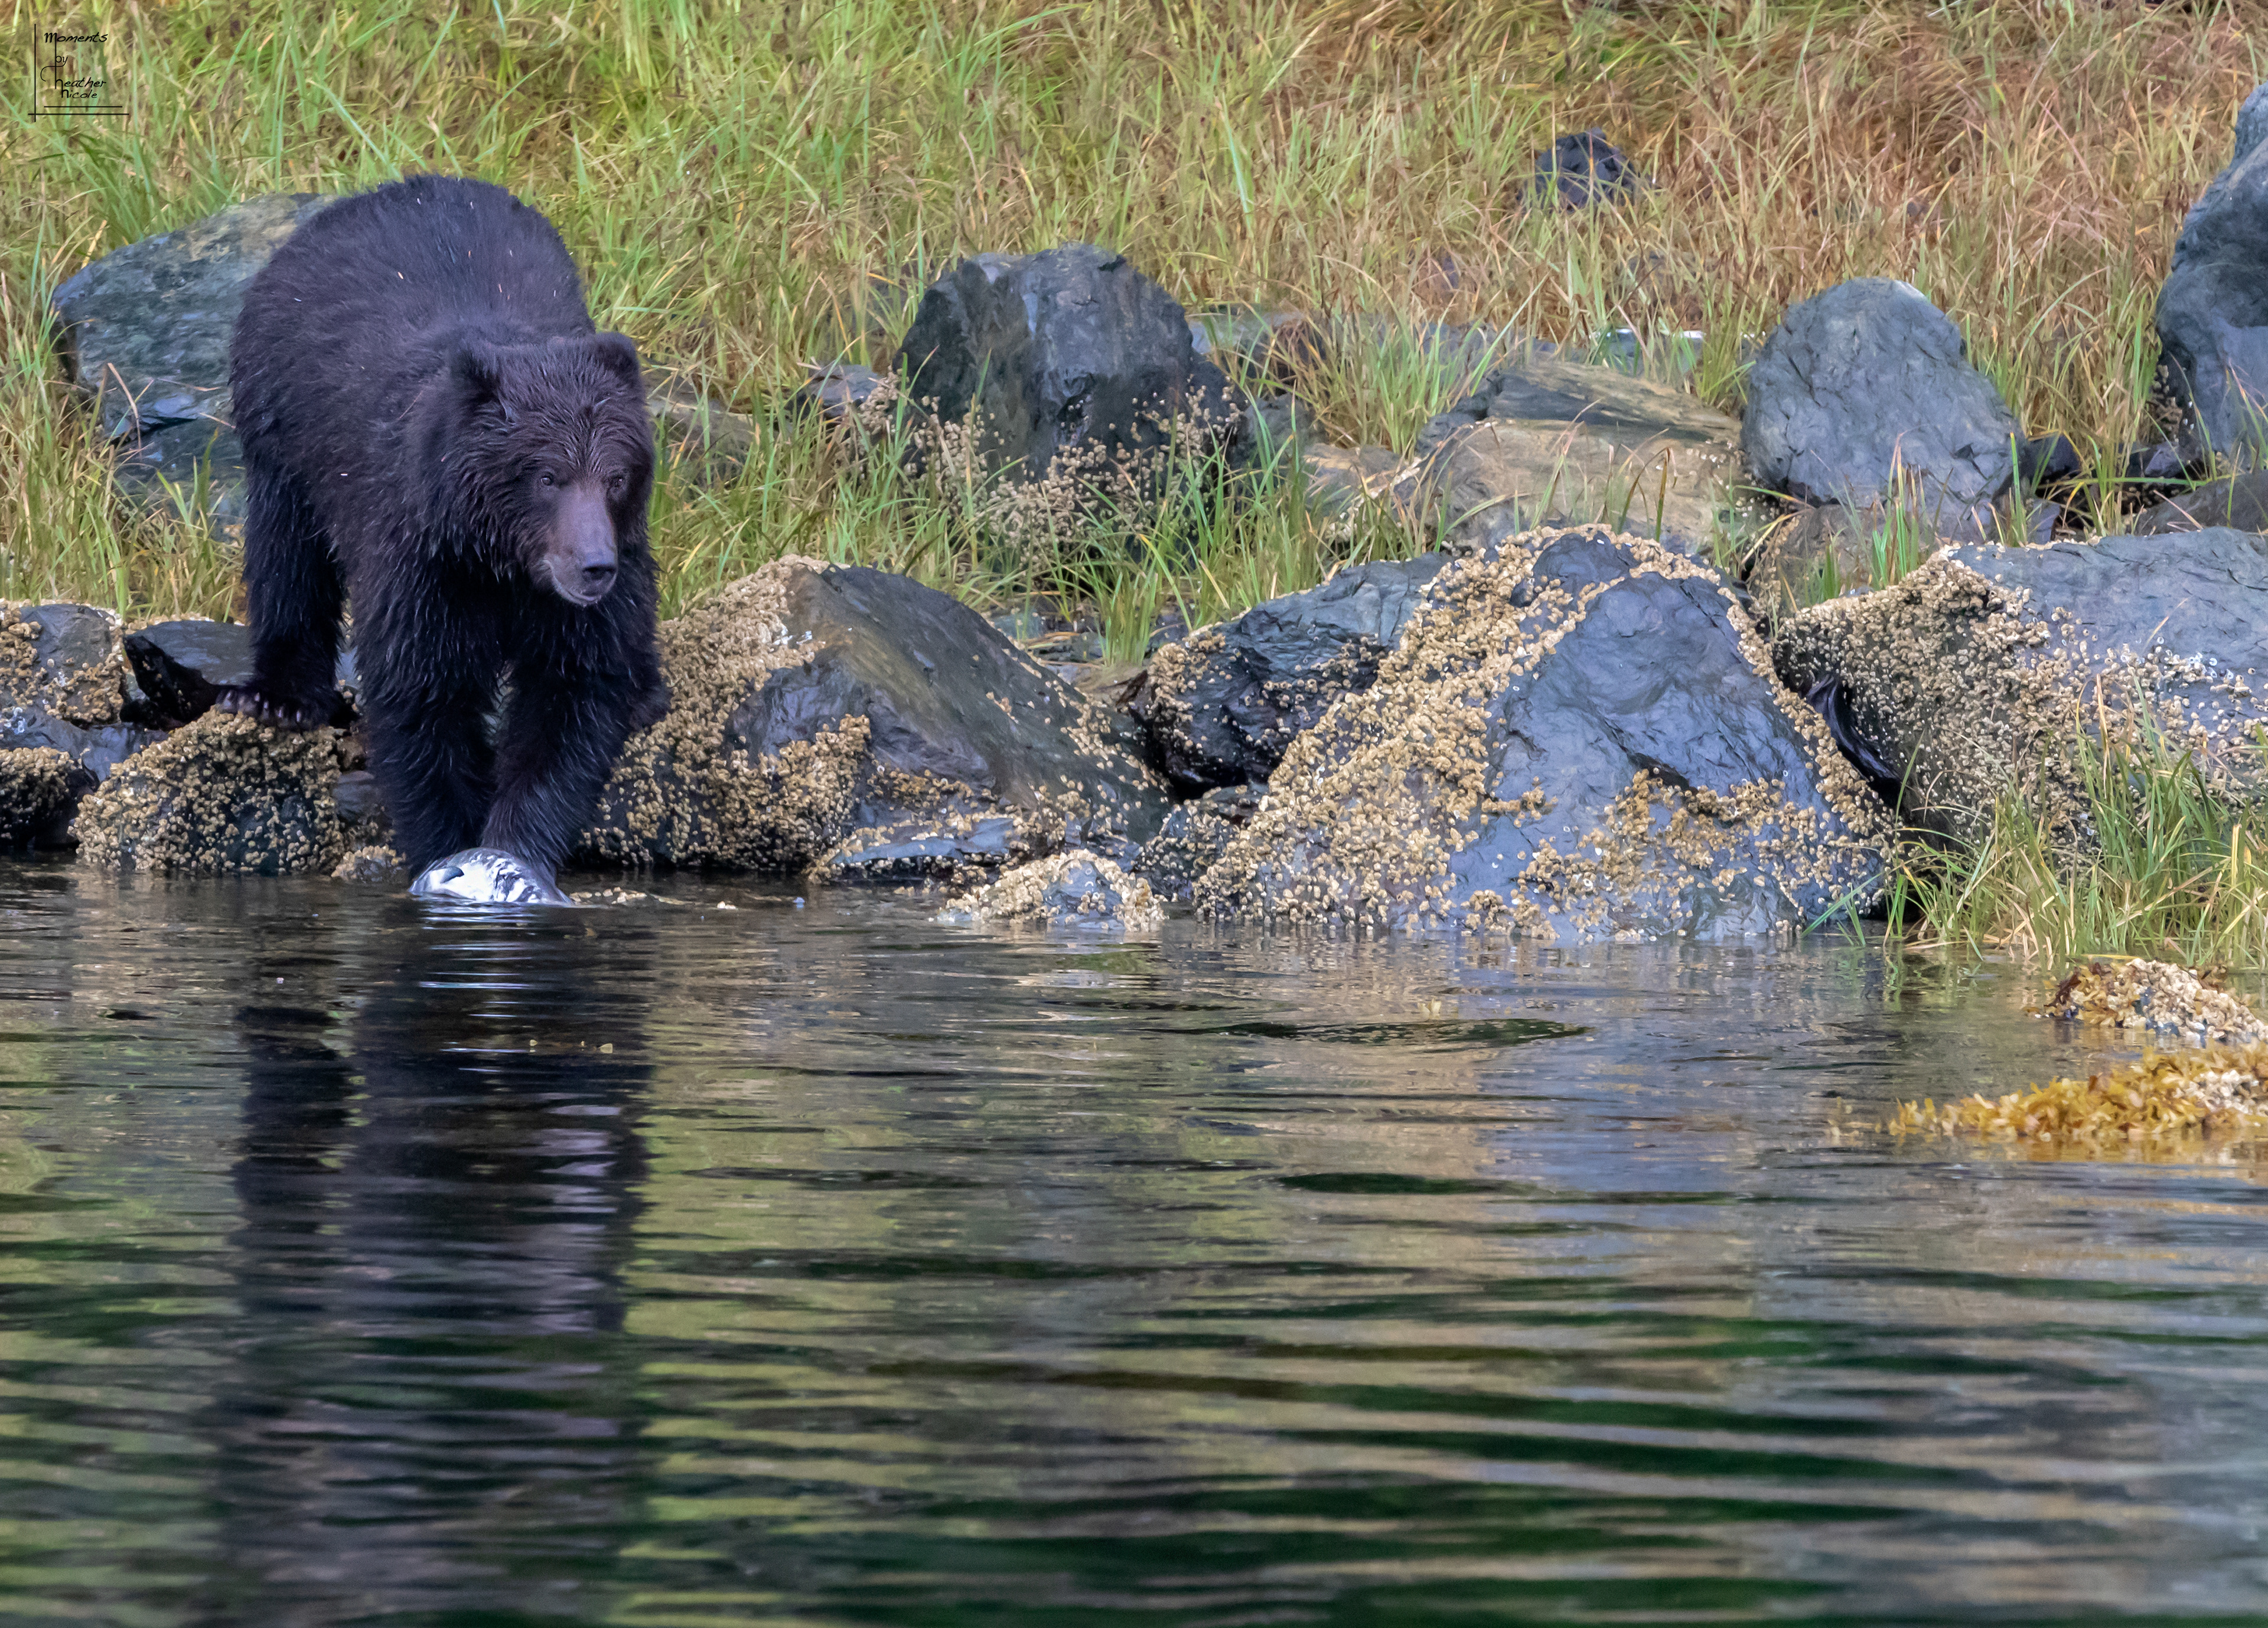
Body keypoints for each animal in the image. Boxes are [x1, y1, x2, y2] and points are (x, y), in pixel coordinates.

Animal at [217, 174, 665, 886]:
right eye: (547, 476)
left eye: (617, 476)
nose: (593, 566)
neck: (501, 561)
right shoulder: (423, 566)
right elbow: (425, 697)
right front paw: (449, 847)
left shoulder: (577, 604)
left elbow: (572, 696)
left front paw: (516, 846)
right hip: (281, 433)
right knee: (287, 555)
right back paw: (278, 696)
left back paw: (648, 690)